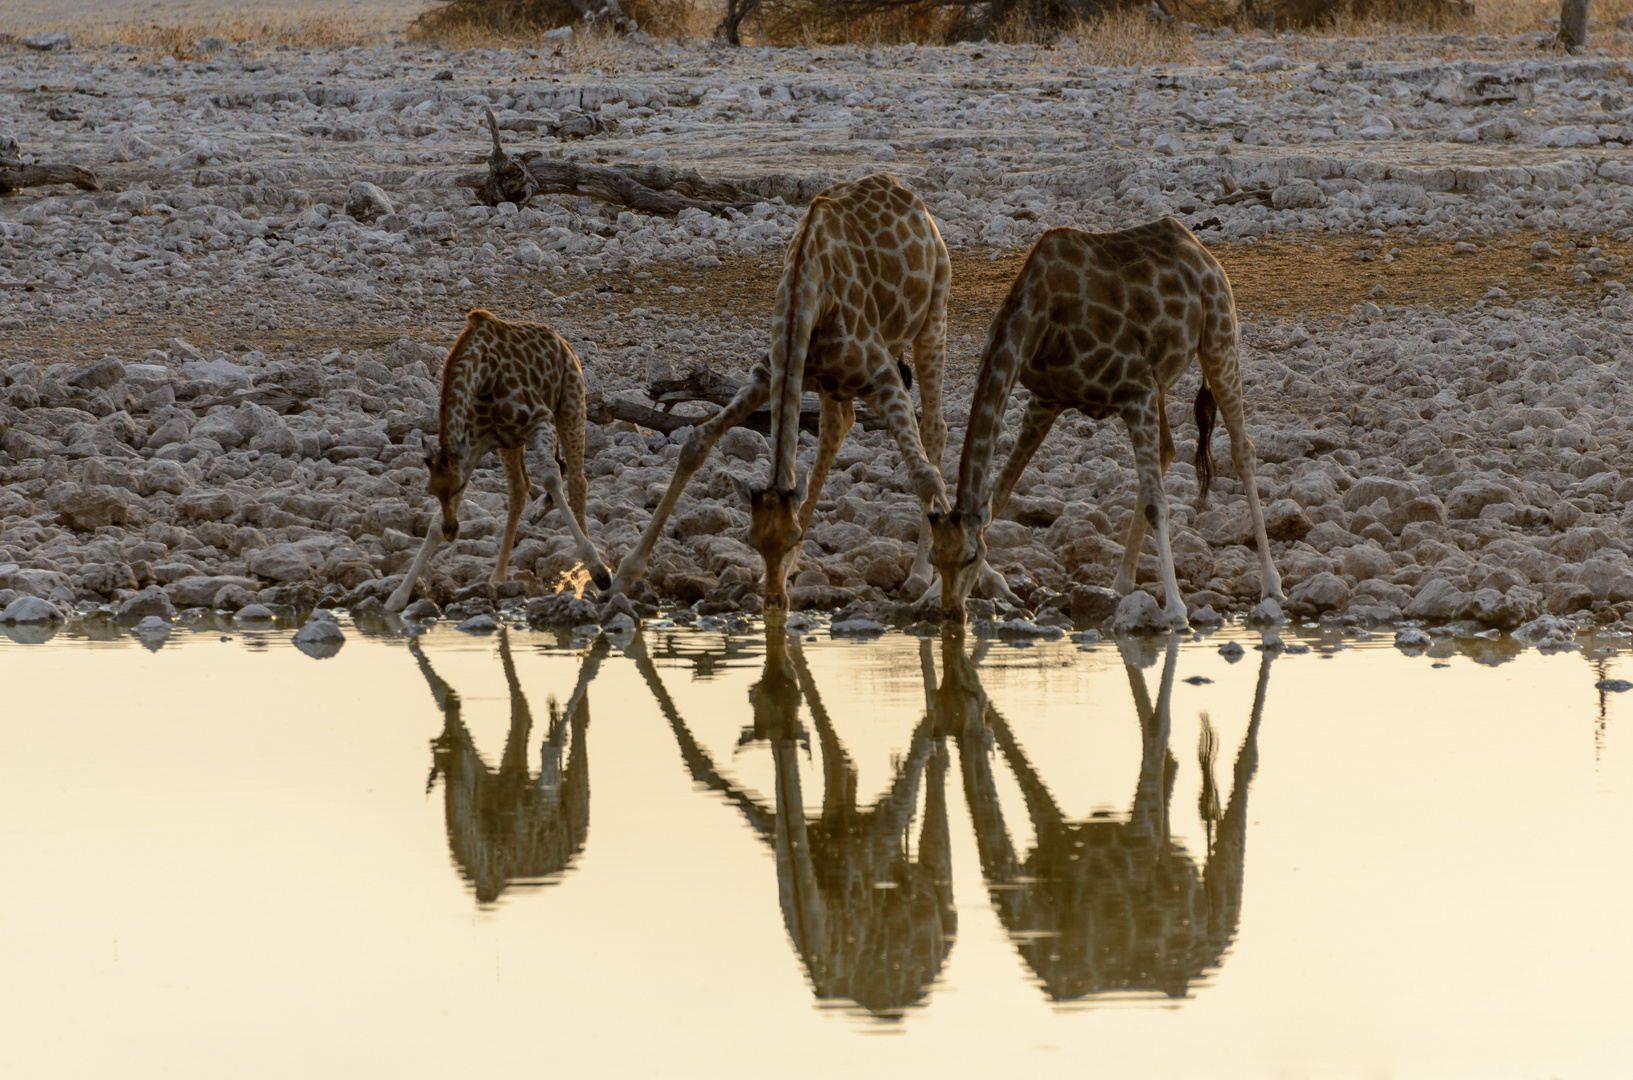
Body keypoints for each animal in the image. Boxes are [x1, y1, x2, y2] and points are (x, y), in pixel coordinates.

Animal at [385, 312, 610, 614]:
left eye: (460, 488)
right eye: (431, 490)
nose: (451, 531)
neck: (483, 377)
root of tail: (562, 342)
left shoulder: (540, 420)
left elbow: (551, 478)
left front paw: (599, 570)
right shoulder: (476, 443)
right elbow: (432, 523)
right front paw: (398, 596)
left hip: (572, 404)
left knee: (576, 482)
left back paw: (588, 576)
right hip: (511, 444)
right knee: (520, 490)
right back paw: (498, 576)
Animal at [604, 178, 1005, 614]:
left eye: (794, 535)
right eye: (751, 539)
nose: (774, 601)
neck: (807, 291)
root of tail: (907, 194)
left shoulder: (884, 379)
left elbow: (925, 476)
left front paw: (983, 573)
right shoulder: (769, 372)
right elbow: (698, 441)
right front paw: (624, 574)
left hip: (934, 317)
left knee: (934, 429)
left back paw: (918, 575)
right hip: (833, 383)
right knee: (838, 427)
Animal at [927, 218, 1280, 624]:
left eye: (971, 556)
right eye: (934, 558)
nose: (951, 614)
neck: (1035, 320)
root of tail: (1199, 247)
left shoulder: (1134, 389)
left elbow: (1158, 503)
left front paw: (1176, 610)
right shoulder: (1047, 399)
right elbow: (998, 496)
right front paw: (933, 592)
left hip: (1219, 339)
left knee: (1242, 451)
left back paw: (1272, 585)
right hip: (1160, 382)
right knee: (1167, 450)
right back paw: (1121, 583)